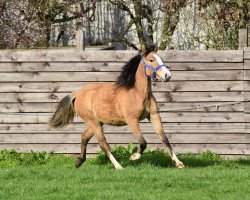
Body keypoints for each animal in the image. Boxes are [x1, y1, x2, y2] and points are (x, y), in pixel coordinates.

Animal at [49, 44, 186, 170]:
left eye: (160, 58)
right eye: (151, 60)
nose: (167, 75)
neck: (137, 93)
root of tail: (77, 93)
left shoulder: (153, 115)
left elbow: (164, 139)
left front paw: (179, 163)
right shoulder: (132, 120)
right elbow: (143, 143)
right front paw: (133, 157)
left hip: (97, 122)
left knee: (84, 137)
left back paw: (79, 162)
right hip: (93, 122)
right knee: (103, 144)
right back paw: (118, 166)